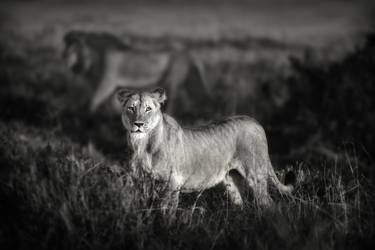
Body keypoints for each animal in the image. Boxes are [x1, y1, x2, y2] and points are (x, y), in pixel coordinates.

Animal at [117, 87, 294, 208]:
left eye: (148, 109)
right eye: (131, 108)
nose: (138, 124)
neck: (142, 145)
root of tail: (254, 121)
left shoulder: (173, 182)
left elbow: (166, 211)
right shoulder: (140, 182)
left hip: (256, 174)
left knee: (268, 203)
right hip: (232, 181)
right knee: (241, 204)